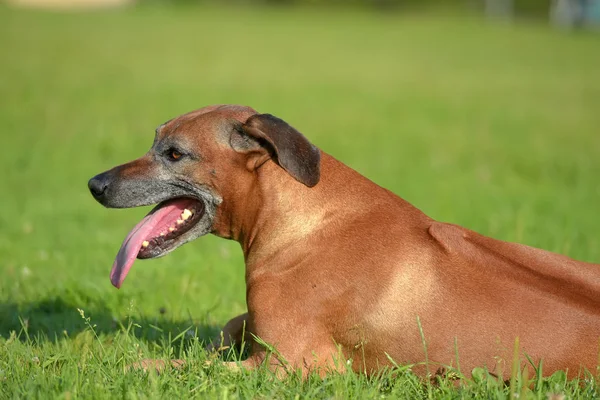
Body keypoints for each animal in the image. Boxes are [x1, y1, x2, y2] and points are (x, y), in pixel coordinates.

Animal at [88, 104, 600, 378]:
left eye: (174, 154)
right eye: (155, 141)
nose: (94, 184)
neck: (304, 219)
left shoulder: (283, 369)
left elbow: (174, 365)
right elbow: (231, 326)